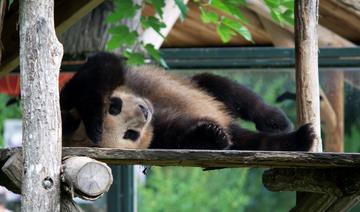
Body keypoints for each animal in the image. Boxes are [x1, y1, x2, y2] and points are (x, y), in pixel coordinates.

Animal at [60, 51, 314, 151]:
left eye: (115, 106)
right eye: (130, 134)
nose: (144, 112)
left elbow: (101, 67)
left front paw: (94, 120)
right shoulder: (159, 135)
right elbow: (181, 134)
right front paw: (212, 134)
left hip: (199, 87)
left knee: (227, 89)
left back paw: (276, 121)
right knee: (253, 142)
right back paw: (299, 139)